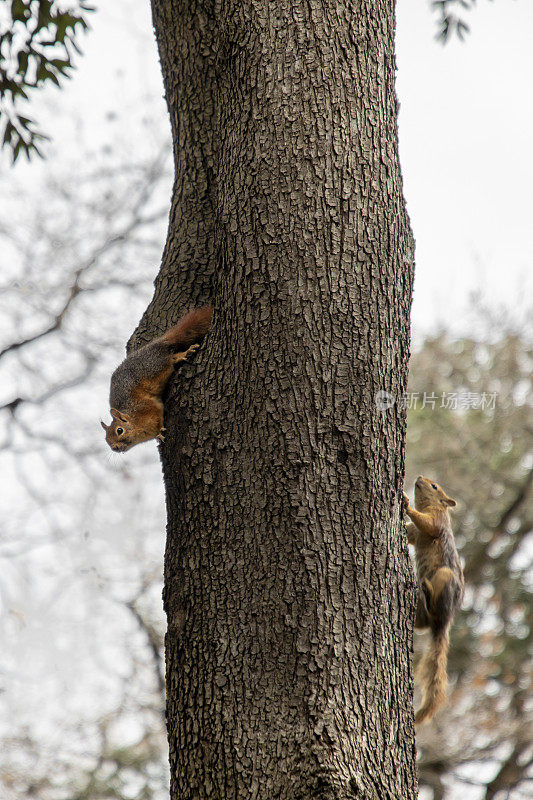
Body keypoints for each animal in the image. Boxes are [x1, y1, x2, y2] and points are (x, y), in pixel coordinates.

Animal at [102, 306, 212, 450]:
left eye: (119, 430)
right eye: (106, 439)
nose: (114, 448)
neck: (134, 420)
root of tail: (160, 342)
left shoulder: (149, 408)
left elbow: (159, 414)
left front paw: (159, 431)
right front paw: (158, 436)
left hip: (157, 365)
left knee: (171, 358)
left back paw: (184, 353)